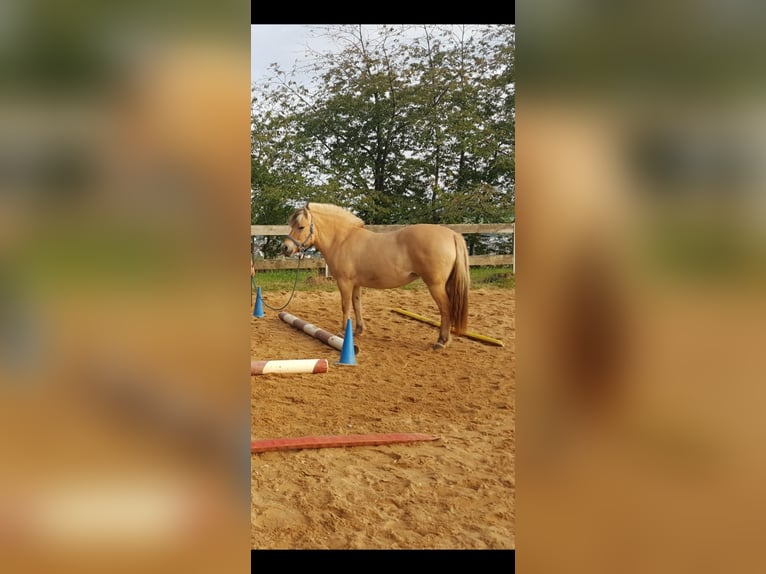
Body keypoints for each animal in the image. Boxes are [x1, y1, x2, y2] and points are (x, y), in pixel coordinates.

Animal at [284, 206, 472, 352]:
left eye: (301, 226)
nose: (284, 248)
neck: (343, 239)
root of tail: (452, 235)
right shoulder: (356, 284)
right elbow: (357, 305)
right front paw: (358, 330)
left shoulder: (344, 283)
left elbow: (345, 306)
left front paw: (342, 332)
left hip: (436, 285)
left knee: (445, 309)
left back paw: (441, 342)